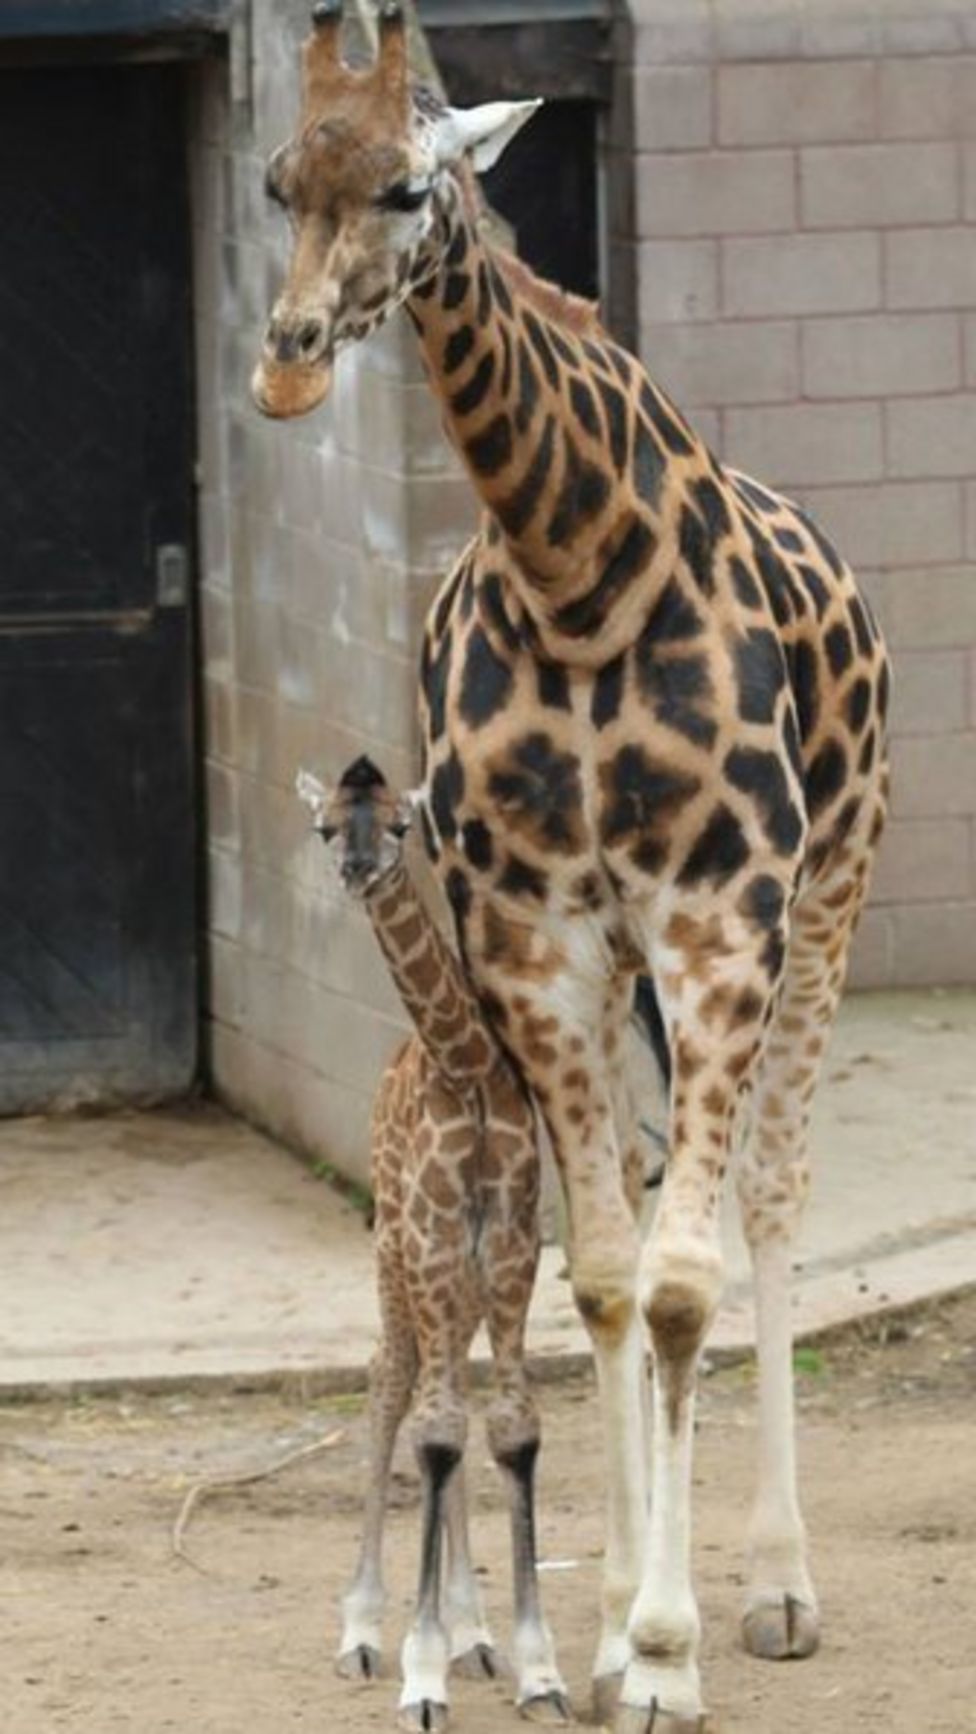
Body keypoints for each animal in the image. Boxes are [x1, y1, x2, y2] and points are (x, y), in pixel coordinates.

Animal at [301, 759, 568, 1734]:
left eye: (400, 826)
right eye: (327, 827)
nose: (358, 873)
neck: (469, 1065)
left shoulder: (514, 1253)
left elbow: (507, 1430)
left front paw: (533, 1667)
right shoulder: (429, 1243)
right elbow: (433, 1428)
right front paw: (419, 1676)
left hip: (457, 1284)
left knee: (441, 1403)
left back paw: (474, 1635)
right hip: (397, 1261)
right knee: (393, 1387)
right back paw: (360, 1632)